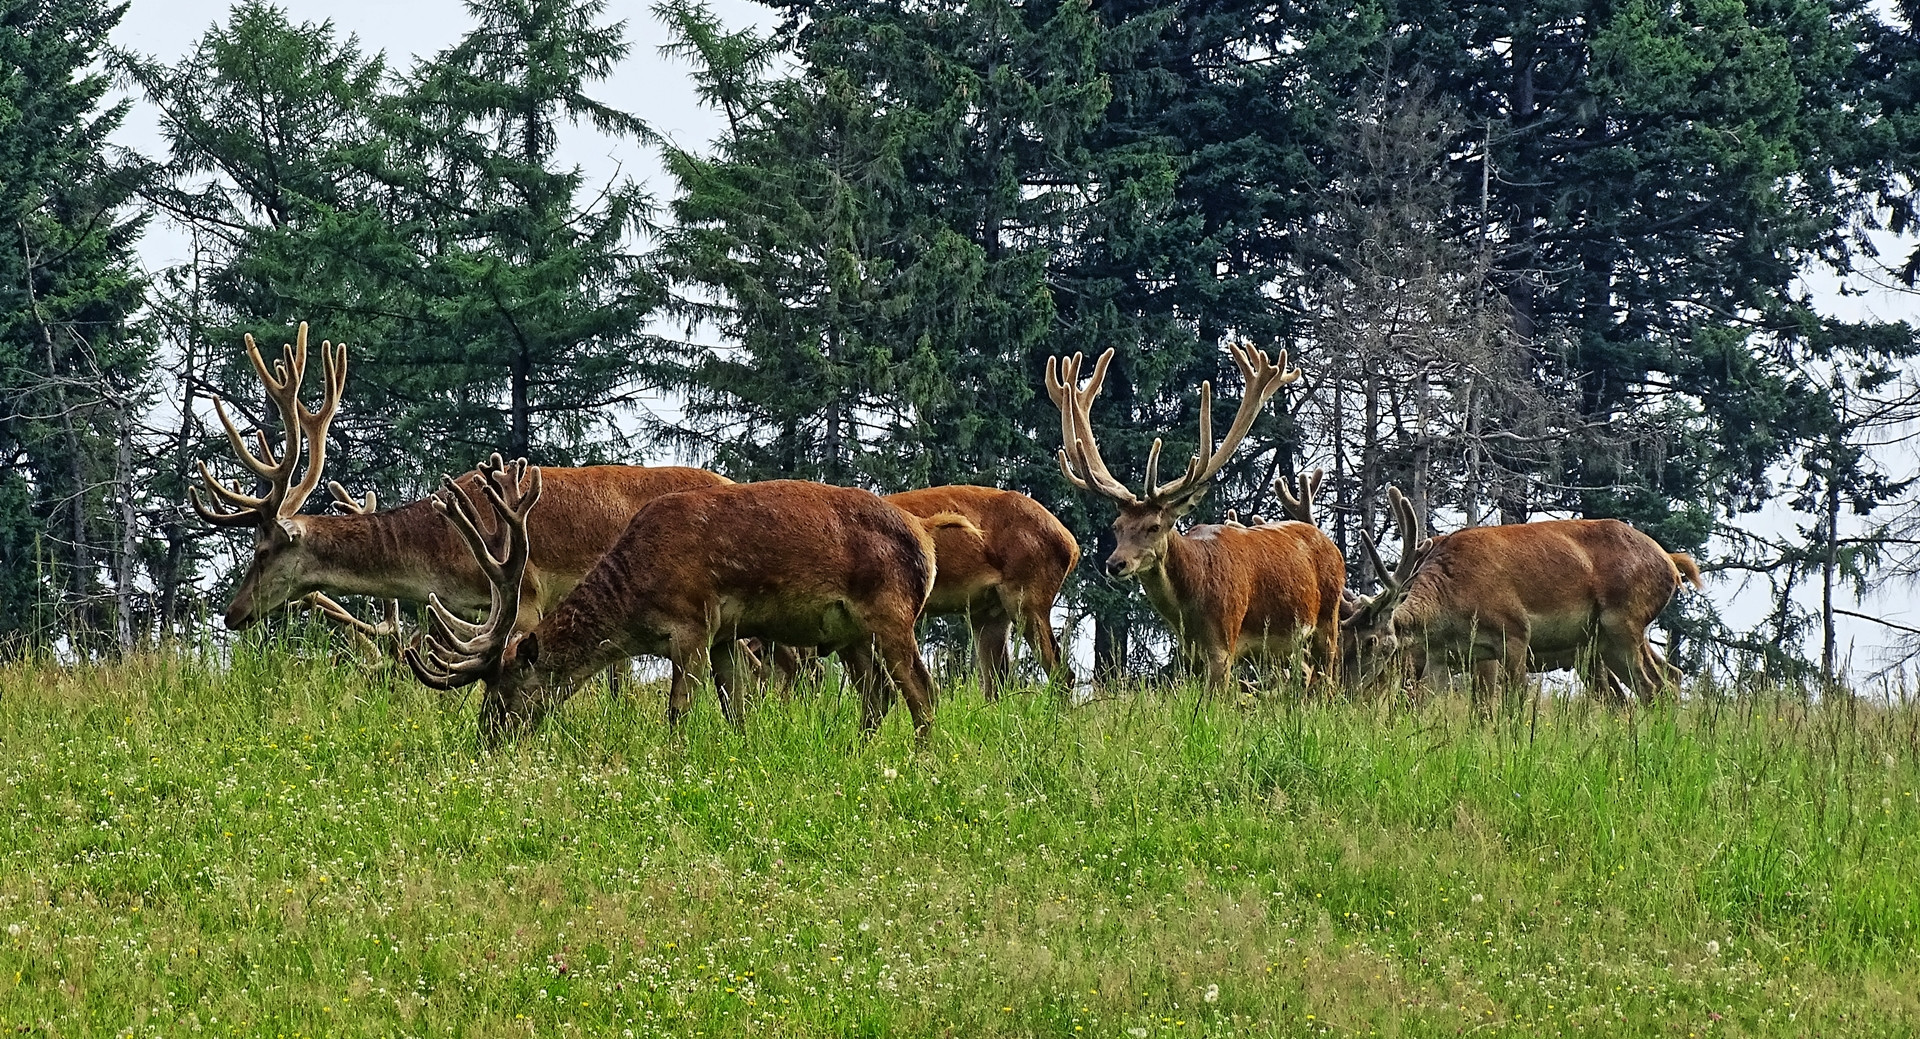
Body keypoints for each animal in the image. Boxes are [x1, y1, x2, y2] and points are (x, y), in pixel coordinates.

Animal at [405, 457, 944, 741]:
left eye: (505, 691)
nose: (487, 740)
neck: (638, 603)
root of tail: (925, 542)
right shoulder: (726, 633)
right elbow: (736, 707)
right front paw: (739, 749)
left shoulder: (693, 623)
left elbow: (678, 711)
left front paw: (676, 761)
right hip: (850, 631)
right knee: (878, 693)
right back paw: (857, 751)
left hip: (893, 610)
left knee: (921, 688)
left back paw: (924, 761)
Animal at [1044, 339, 1344, 687]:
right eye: (1116, 526)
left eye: (1154, 526)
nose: (1114, 564)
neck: (1190, 607)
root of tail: (1330, 544)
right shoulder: (1189, 654)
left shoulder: (1224, 644)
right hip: (1288, 648)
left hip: (1328, 622)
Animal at [1344, 483, 1704, 710]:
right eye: (1345, 639)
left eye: (1371, 643)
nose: (1346, 690)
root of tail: (1670, 563)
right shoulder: (1441, 659)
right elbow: (1423, 705)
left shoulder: (1514, 633)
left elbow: (1509, 707)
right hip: (1599, 645)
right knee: (1657, 684)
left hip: (1625, 622)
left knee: (1652, 686)